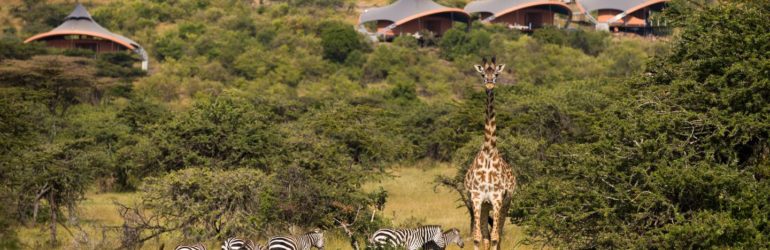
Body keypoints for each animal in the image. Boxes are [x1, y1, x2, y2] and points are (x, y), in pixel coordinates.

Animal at [462, 56, 516, 250]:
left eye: (497, 74)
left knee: (498, 234)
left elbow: (494, 237)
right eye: (483, 74)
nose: (490, 84)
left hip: (506, 203)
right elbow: (478, 237)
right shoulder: (477, 198)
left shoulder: (498, 198)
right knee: (486, 234)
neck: (488, 151)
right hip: (485, 206)